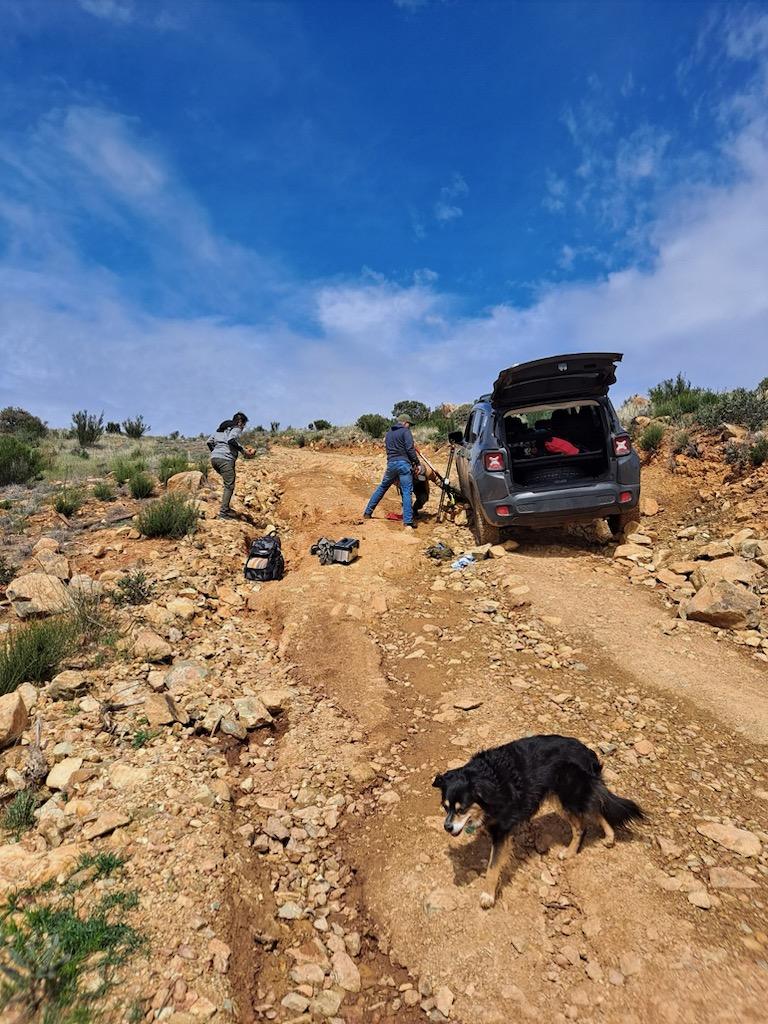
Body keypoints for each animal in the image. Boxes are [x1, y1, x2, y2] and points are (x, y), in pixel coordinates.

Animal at [434, 733, 643, 909]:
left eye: (462, 809)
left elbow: (493, 868)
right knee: (595, 807)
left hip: (566, 796)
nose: (447, 827)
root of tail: (588, 753)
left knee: (583, 824)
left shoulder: (502, 832)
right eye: (445, 807)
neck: (488, 785)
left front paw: (488, 896)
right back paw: (609, 837)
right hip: (566, 796)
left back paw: (570, 853)